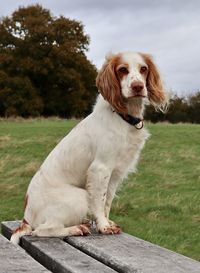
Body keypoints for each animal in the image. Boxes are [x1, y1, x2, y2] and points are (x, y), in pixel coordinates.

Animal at [10, 50, 167, 242]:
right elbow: (99, 201)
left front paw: (107, 221)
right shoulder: (100, 168)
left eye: (143, 69)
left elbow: (107, 200)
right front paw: (104, 226)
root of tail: (26, 217)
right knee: (42, 230)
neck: (122, 116)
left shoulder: (115, 173)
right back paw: (76, 229)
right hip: (79, 196)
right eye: (123, 70)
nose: (138, 86)